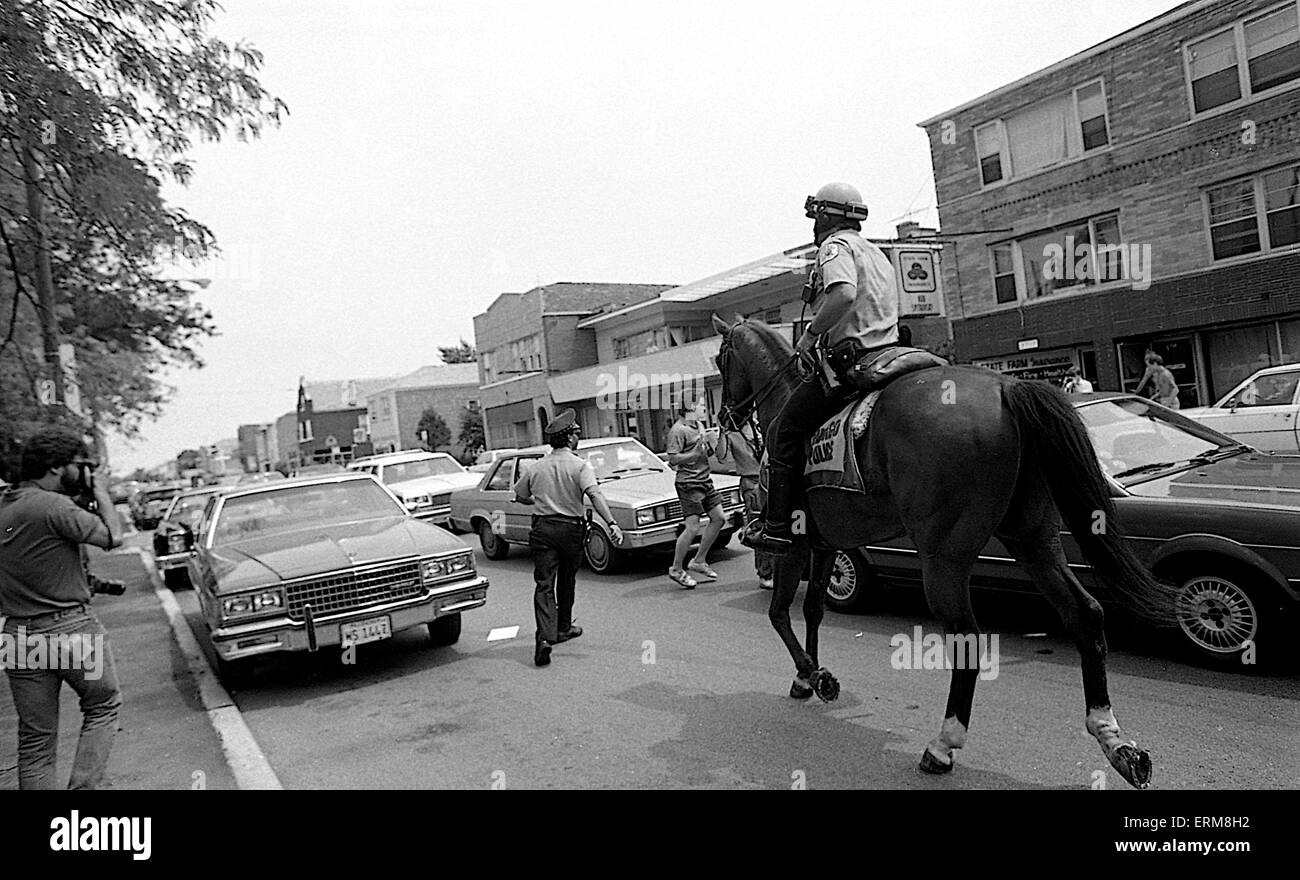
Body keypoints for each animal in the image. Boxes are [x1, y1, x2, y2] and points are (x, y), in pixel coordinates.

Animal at [712, 317, 1180, 790]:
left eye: (720, 359)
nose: (723, 416)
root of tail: (1007, 387)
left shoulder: (793, 545)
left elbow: (778, 613)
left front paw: (812, 674)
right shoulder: (826, 544)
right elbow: (812, 611)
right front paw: (809, 676)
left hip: (943, 558)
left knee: (967, 637)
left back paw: (943, 745)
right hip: (1034, 540)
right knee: (1085, 613)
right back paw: (1116, 742)